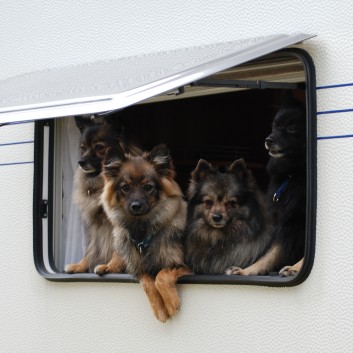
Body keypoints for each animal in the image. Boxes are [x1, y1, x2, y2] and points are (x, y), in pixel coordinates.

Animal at [100, 144, 191, 322]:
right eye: (125, 187)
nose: (136, 206)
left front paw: (171, 304)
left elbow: (161, 276)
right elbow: (148, 282)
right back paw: (106, 267)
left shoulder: (188, 267)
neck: (144, 231)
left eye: (148, 187)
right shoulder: (139, 269)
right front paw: (160, 309)